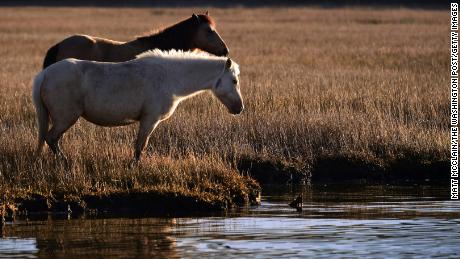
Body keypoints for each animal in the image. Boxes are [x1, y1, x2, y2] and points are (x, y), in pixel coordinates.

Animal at [32, 49, 243, 162]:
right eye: (234, 81)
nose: (239, 108)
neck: (169, 77)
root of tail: (45, 74)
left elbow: (139, 146)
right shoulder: (149, 120)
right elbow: (140, 146)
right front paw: (134, 167)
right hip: (65, 118)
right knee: (51, 138)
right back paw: (66, 162)